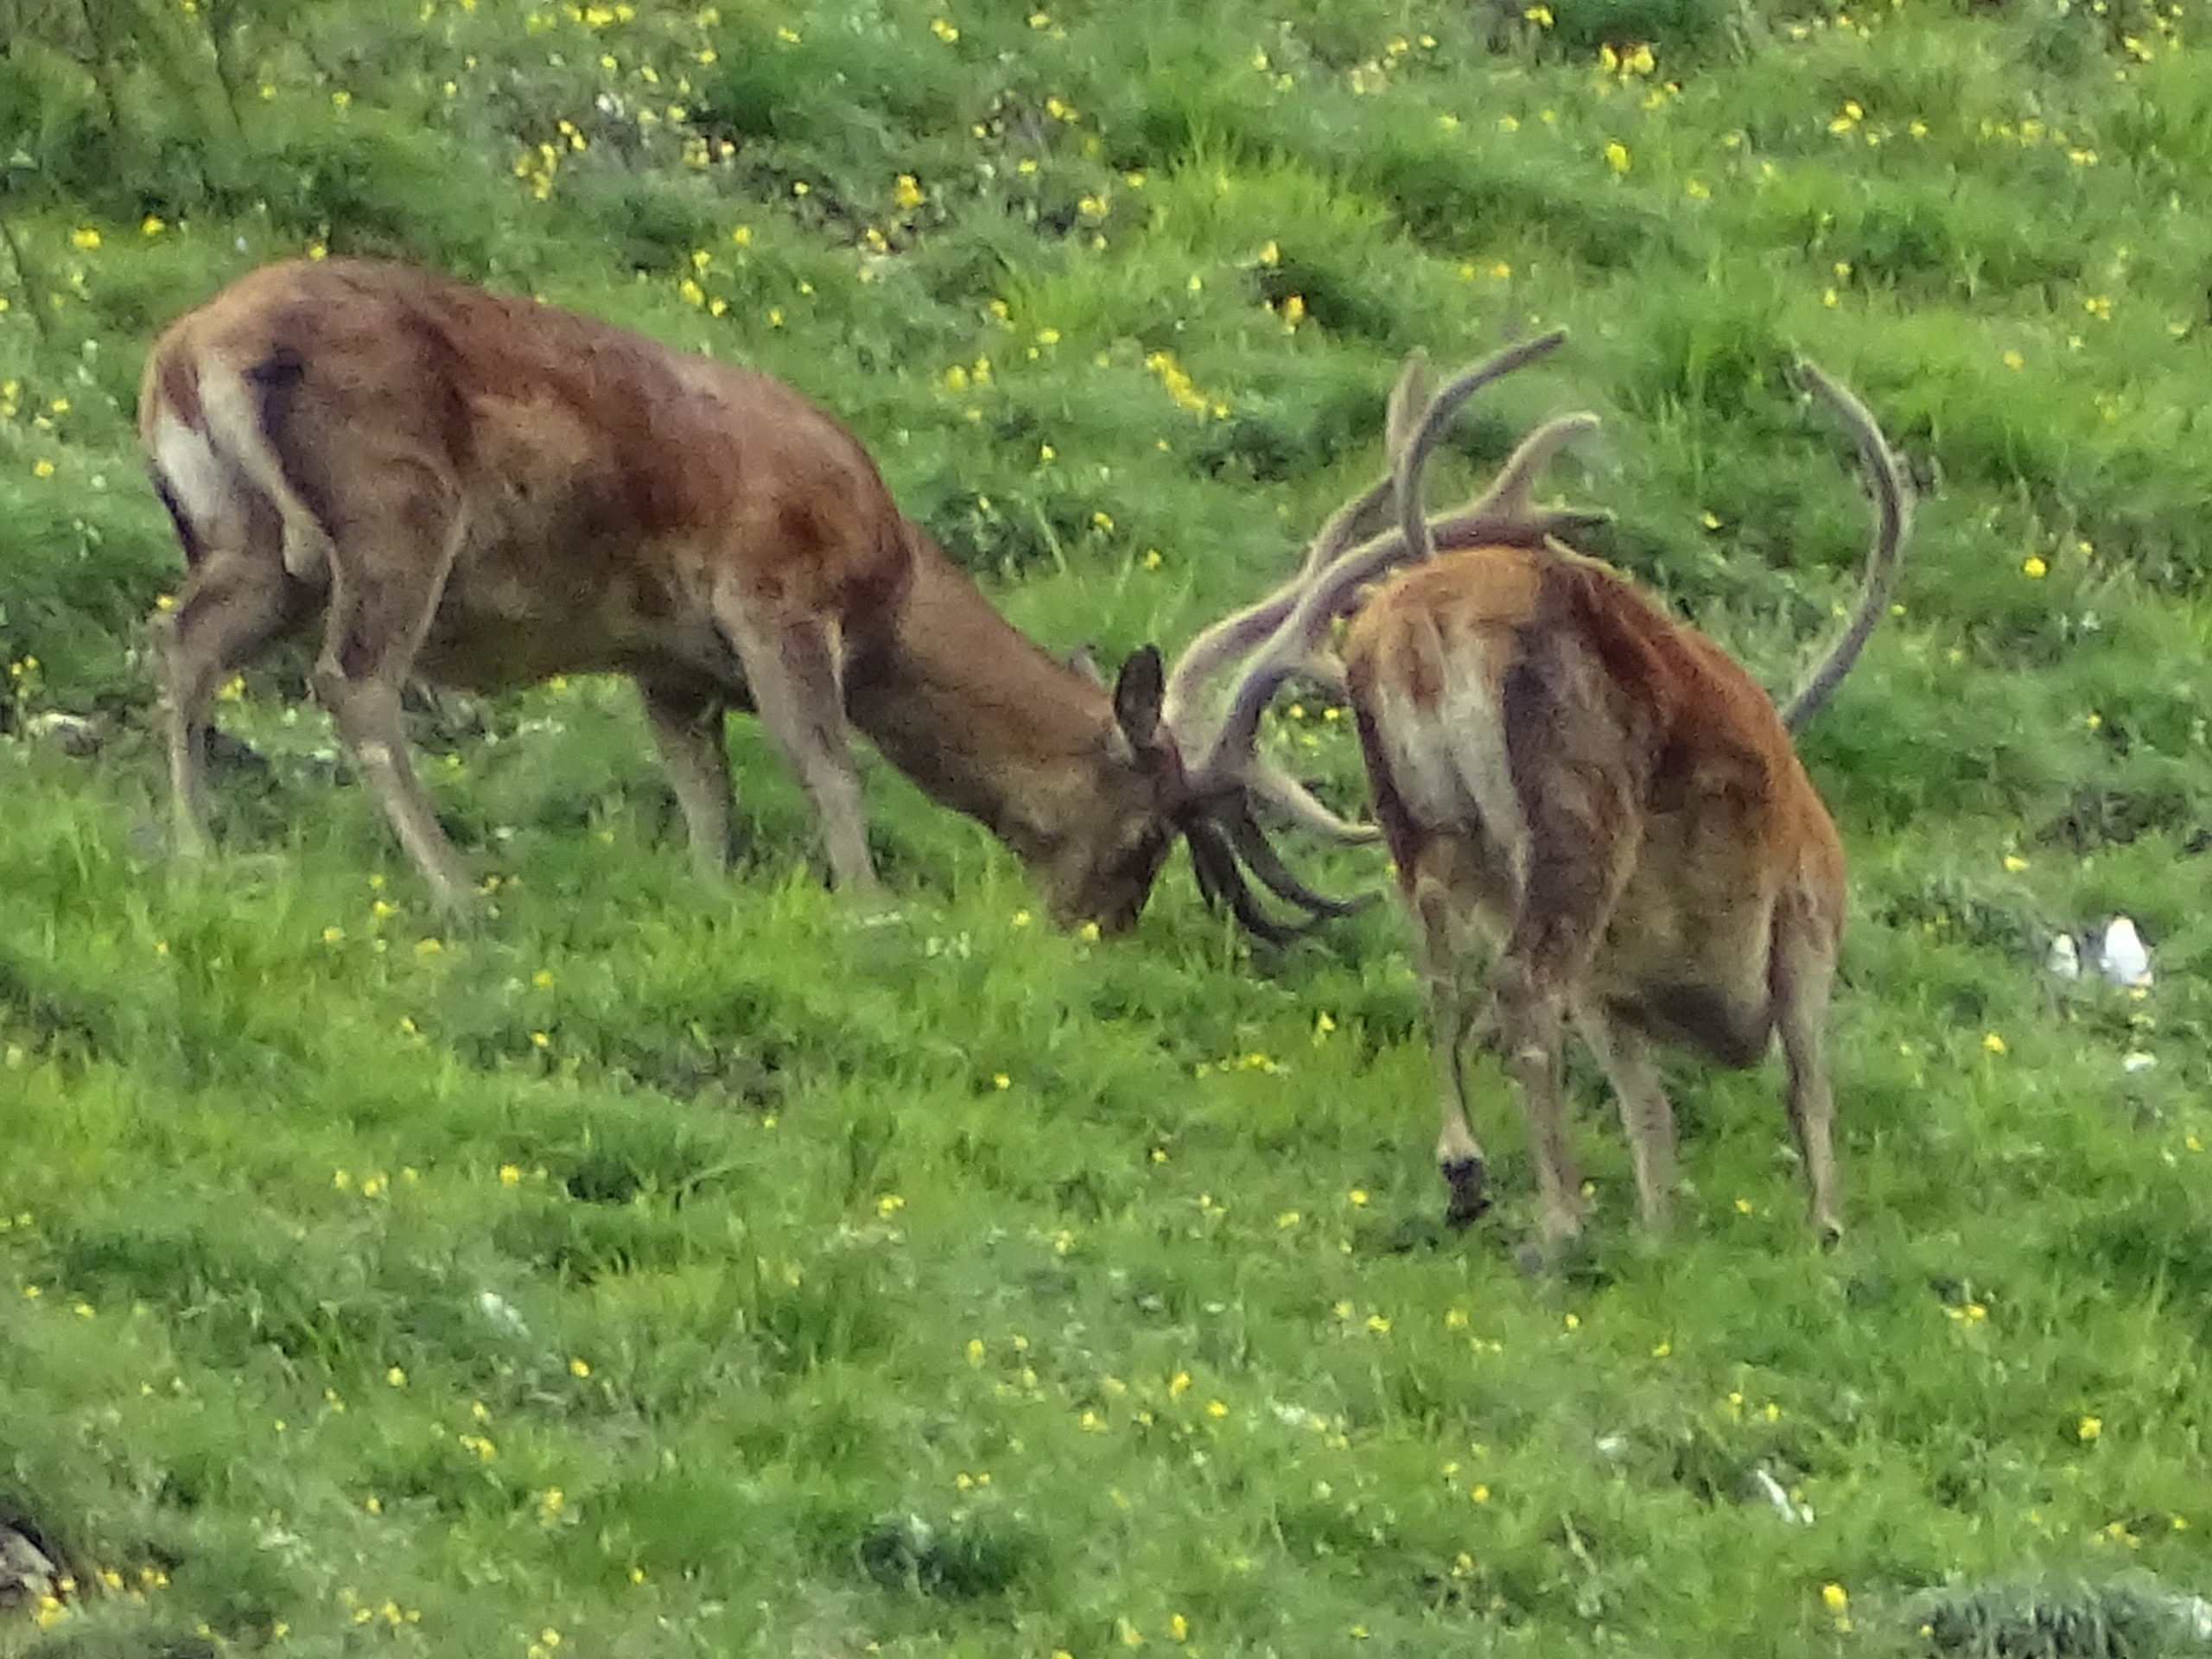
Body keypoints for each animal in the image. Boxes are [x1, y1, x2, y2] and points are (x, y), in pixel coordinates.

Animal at [135, 257, 1584, 934]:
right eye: (1150, 828)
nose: (1095, 931)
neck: (891, 582)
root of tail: (184, 349)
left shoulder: (667, 664)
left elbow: (708, 800)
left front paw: (719, 901)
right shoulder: (774, 593)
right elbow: (826, 766)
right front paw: (868, 905)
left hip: (249, 540)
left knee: (181, 644)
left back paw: (199, 849)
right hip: (393, 516)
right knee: (354, 680)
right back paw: (454, 891)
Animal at [1191, 342, 1909, 1252]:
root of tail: (1424, 620)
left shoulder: (1611, 985)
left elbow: (1648, 1113)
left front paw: (1660, 1231)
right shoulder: (1805, 914)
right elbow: (1805, 1086)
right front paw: (1826, 1233)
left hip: (1414, 814)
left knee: (1437, 954)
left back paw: (1466, 1168)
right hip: (1578, 815)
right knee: (1522, 982)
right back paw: (1561, 1217)